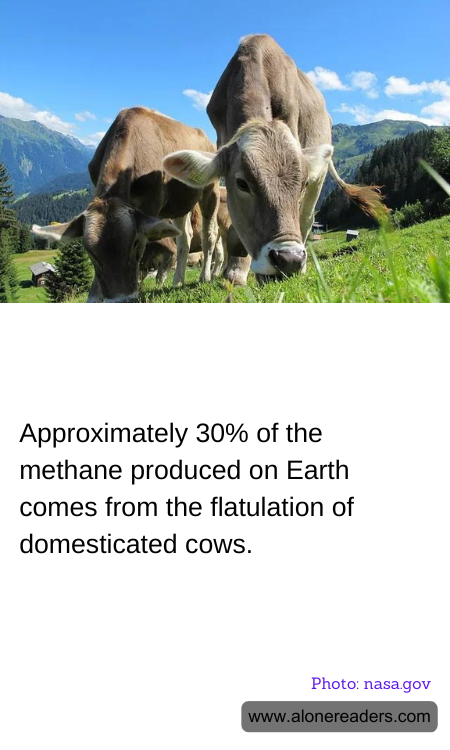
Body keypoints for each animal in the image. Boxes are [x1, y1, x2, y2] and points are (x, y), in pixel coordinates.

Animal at [31, 107, 220, 301]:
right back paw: (178, 281)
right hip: (179, 203)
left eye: (134, 243)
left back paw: (205, 276)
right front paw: (94, 297)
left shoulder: (150, 206)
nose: (122, 300)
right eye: (90, 252)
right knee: (185, 237)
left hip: (211, 189)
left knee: (209, 234)